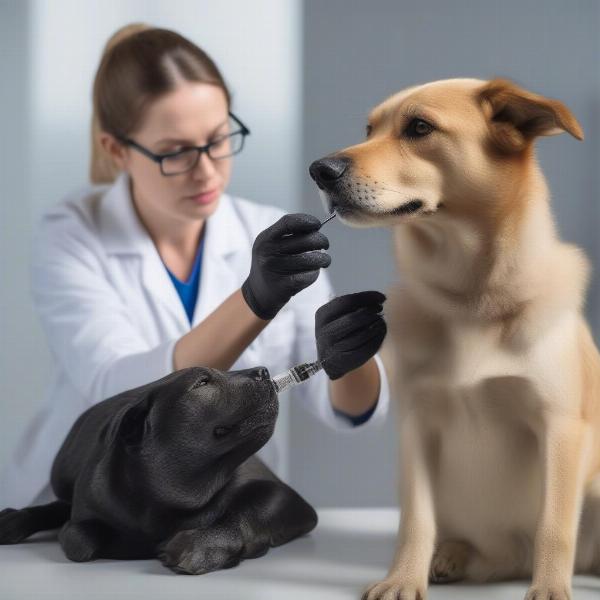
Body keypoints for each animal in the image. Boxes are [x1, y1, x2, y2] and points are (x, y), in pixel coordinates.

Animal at [0, 364, 318, 576]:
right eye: (202, 382)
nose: (263, 371)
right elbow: (78, 539)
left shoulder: (283, 495)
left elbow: (246, 510)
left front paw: (203, 546)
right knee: (58, 506)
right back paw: (13, 520)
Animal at [310, 77, 600, 596]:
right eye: (369, 130)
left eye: (419, 127)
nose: (319, 170)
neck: (472, 301)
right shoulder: (418, 426)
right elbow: (414, 522)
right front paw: (402, 580)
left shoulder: (560, 426)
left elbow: (554, 525)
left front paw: (550, 589)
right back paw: (450, 557)